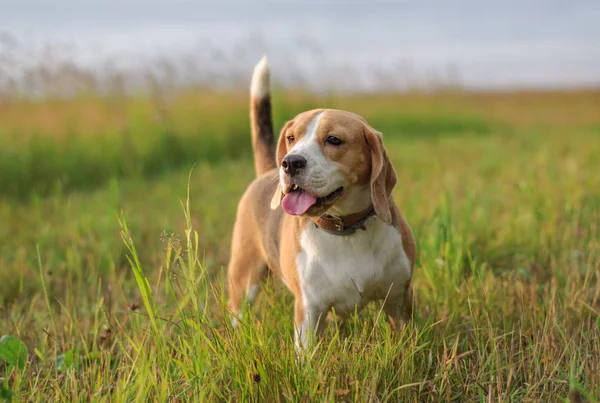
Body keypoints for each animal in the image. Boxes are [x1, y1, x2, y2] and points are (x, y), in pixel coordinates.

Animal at [227, 55, 414, 352]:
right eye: (291, 138)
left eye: (334, 140)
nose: (290, 162)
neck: (345, 228)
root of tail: (267, 171)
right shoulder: (309, 311)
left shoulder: (398, 299)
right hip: (244, 277)